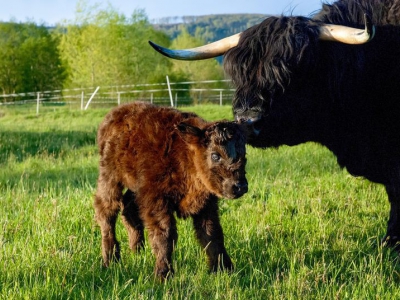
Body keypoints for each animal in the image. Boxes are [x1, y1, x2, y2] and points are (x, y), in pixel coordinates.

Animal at [95, 101, 248, 278]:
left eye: (244, 154)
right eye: (215, 155)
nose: (240, 186)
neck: (185, 154)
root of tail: (114, 114)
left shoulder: (206, 204)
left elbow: (212, 234)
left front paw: (225, 269)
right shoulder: (156, 200)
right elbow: (165, 235)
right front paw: (163, 274)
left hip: (134, 186)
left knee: (128, 207)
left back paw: (137, 252)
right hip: (110, 177)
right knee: (106, 210)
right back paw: (110, 260)